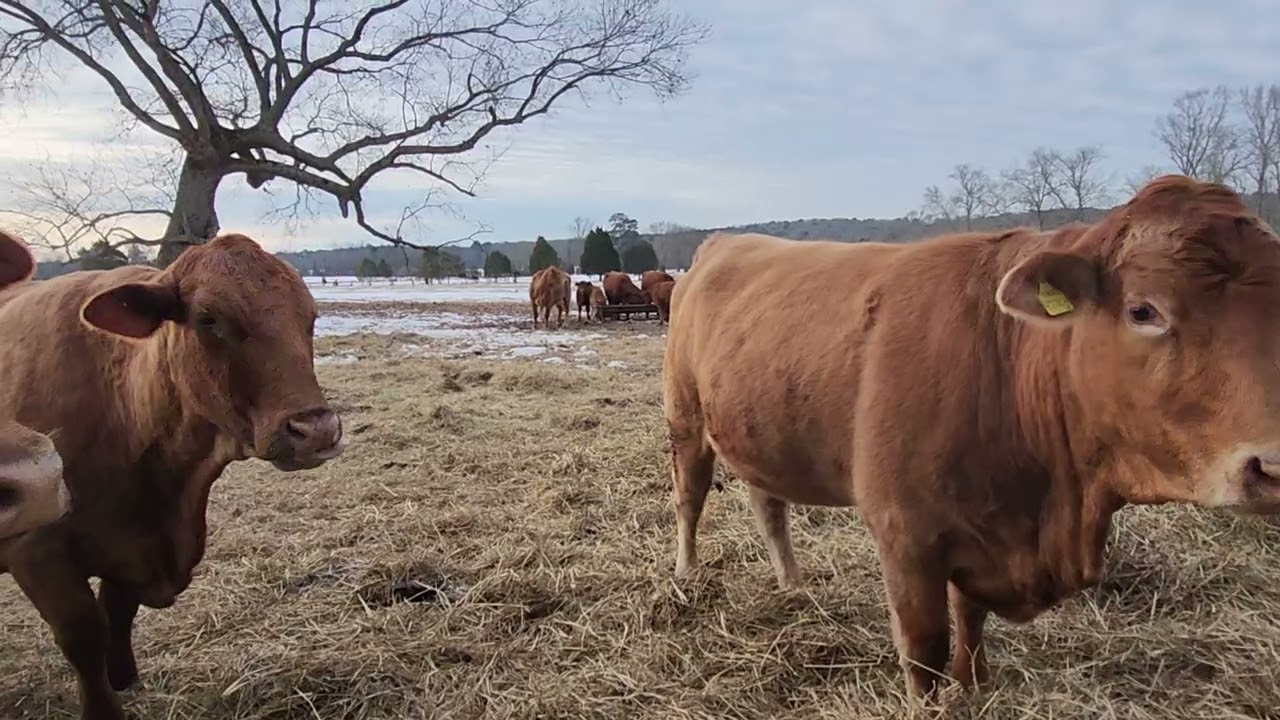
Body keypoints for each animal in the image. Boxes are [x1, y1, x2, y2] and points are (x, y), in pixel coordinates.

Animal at [0, 232, 346, 720]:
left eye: (310, 318)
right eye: (208, 318)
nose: (316, 430)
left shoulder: (133, 550)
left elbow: (117, 615)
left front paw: (124, 679)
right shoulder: (37, 551)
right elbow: (85, 636)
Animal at [662, 175, 1280, 700]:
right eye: (1143, 310)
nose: (1271, 466)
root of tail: (723, 242)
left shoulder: (980, 527)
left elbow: (970, 617)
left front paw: (976, 681)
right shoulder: (906, 535)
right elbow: (924, 650)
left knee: (769, 507)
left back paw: (792, 584)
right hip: (685, 420)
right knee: (689, 499)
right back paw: (686, 574)